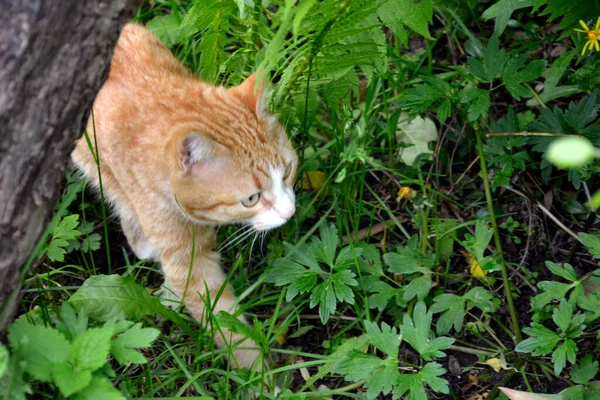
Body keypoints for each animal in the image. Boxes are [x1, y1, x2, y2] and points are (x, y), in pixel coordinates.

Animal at [72, 24, 298, 368]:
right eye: (251, 198)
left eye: (286, 172)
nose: (289, 213)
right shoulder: (188, 261)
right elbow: (224, 322)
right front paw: (256, 371)